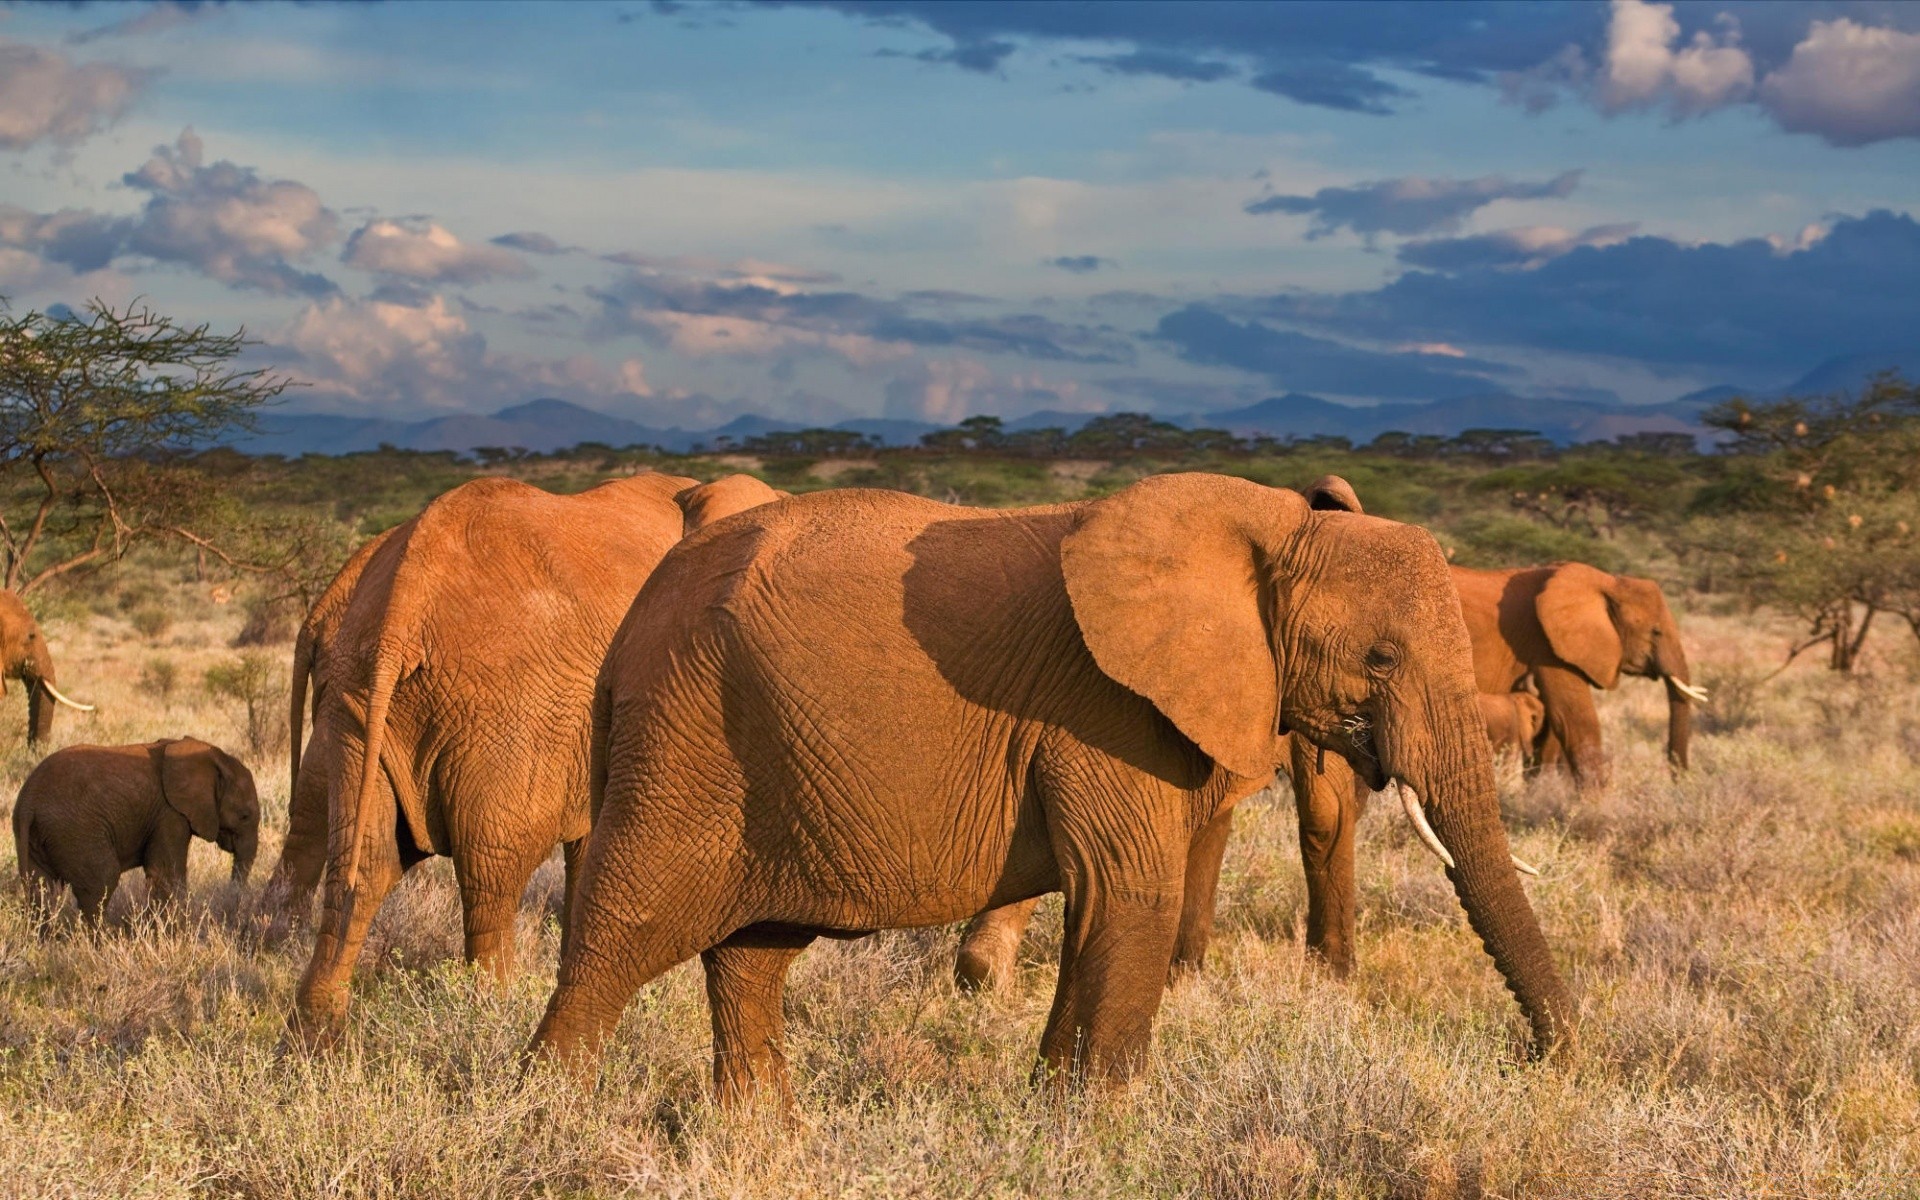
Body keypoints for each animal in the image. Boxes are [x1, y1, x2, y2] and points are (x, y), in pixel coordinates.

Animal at [13, 729, 263, 925]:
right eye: (244, 816)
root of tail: (28, 800)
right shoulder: (169, 814)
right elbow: (165, 873)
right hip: (76, 831)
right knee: (101, 882)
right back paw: (105, 941)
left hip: (39, 836)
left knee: (41, 890)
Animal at [288, 472, 783, 1044]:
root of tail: (402, 607)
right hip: (505, 710)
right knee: (491, 868)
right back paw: (489, 1014)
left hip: (357, 699)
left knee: (361, 858)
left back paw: (313, 1035)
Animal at [529, 470, 1574, 1105]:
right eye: (1381, 659)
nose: (1536, 1057)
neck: (1267, 530)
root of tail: (632, 625)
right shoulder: (1103, 708)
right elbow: (1130, 892)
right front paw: (1095, 1132)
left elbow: (1105, 907)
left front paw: (1050, 1113)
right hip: (685, 736)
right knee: (621, 938)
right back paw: (553, 1120)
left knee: (751, 960)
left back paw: (760, 1140)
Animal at [1451, 560, 1712, 787]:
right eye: (1656, 632)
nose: (1680, 785)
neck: (1608, 583)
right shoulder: (1547, 646)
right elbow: (1573, 718)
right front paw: (1597, 807)